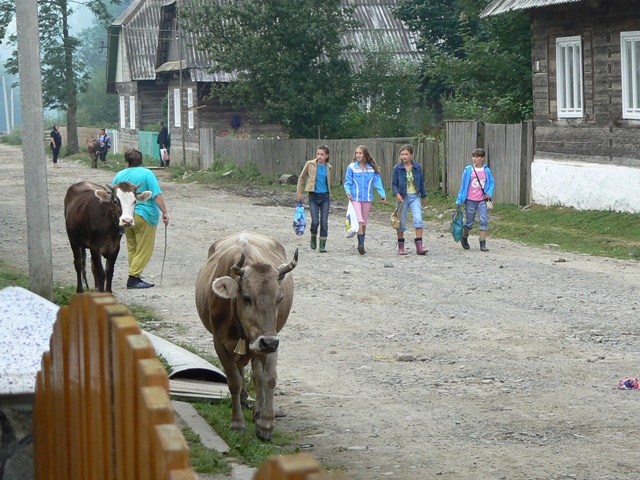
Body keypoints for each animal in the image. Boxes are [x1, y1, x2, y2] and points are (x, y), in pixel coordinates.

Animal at [195, 232, 298, 441]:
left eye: (280, 298)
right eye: (247, 298)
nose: (267, 342)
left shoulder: (272, 338)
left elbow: (269, 378)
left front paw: (265, 424)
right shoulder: (219, 343)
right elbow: (233, 381)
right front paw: (237, 424)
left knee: (257, 375)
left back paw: (257, 410)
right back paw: (243, 401)